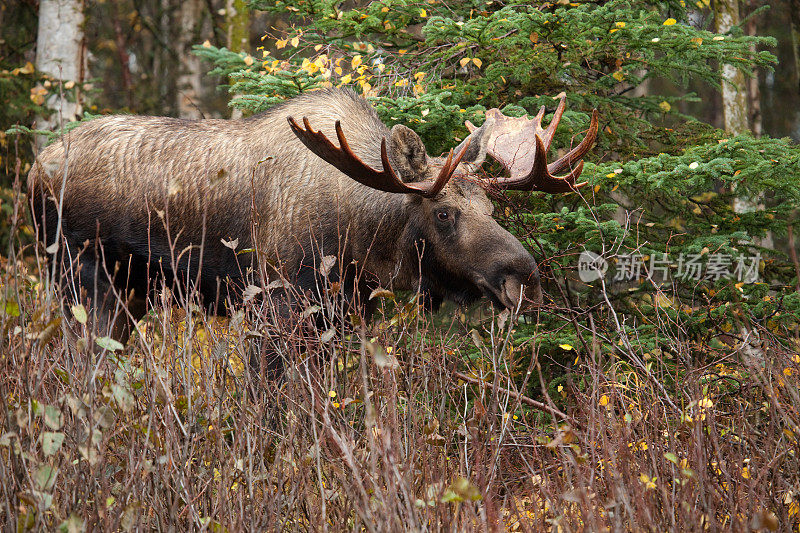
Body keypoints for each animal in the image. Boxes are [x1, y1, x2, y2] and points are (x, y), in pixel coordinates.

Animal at [28, 87, 596, 336]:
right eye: (443, 214)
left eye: (491, 204)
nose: (524, 279)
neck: (361, 241)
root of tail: (33, 169)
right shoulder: (277, 305)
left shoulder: (344, 312)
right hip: (85, 282)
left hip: (133, 293)